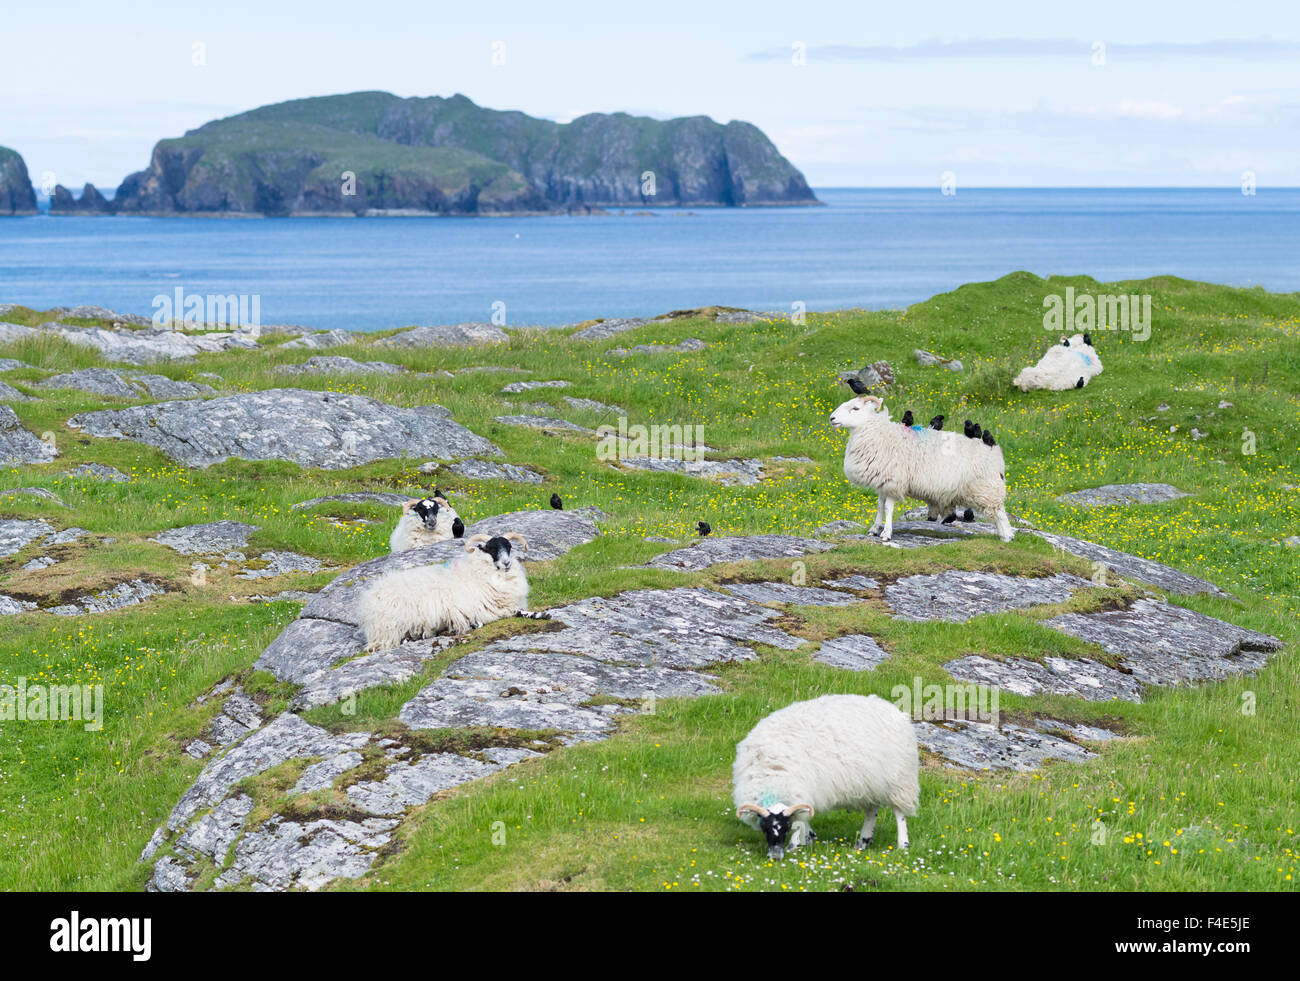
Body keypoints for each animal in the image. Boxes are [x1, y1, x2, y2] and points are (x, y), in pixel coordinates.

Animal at [356, 530, 543, 652]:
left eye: (509, 546)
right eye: (491, 548)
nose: (506, 563)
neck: (477, 572)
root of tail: (369, 602)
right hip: (393, 625)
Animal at [733, 691, 925, 857]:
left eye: (786, 827)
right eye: (764, 827)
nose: (775, 856)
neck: (771, 776)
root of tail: (891, 708)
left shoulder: (801, 789)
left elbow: (800, 819)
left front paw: (796, 843)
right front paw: (808, 837)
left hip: (899, 779)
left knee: (899, 812)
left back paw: (902, 844)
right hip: (870, 781)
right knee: (872, 810)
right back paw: (863, 841)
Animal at [832, 392, 1013, 545]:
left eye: (855, 408)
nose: (832, 418)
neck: (877, 433)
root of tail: (994, 450)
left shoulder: (895, 481)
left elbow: (888, 508)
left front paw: (886, 534)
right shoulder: (884, 481)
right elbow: (879, 506)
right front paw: (874, 529)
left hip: (988, 489)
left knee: (1000, 513)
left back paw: (1006, 536)